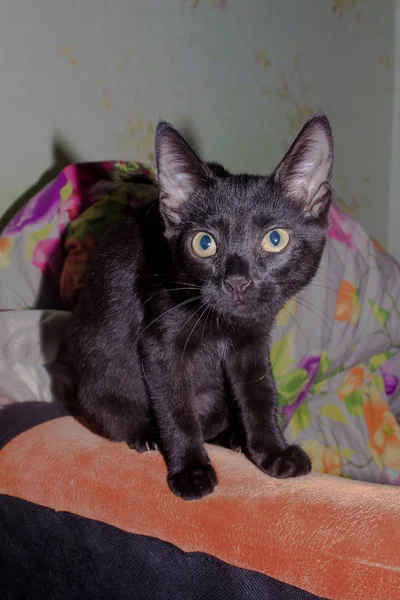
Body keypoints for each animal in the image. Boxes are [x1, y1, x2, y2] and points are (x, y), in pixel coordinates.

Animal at [69, 112, 334, 502]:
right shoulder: (161, 346)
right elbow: (176, 408)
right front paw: (191, 470)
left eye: (275, 239)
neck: (224, 324)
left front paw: (273, 452)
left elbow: (260, 394)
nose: (237, 281)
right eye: (204, 243)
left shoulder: (252, 342)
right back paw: (146, 436)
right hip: (97, 387)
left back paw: (234, 438)